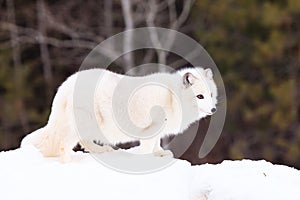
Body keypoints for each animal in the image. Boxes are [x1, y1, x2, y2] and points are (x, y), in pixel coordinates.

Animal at [21, 67, 218, 162]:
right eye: (199, 96)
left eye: (210, 95)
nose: (214, 110)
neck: (172, 95)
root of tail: (65, 86)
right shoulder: (151, 128)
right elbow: (148, 147)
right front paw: (148, 159)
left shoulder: (158, 131)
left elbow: (157, 144)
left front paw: (160, 154)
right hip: (85, 122)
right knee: (65, 145)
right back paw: (69, 162)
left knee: (83, 142)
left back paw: (101, 151)